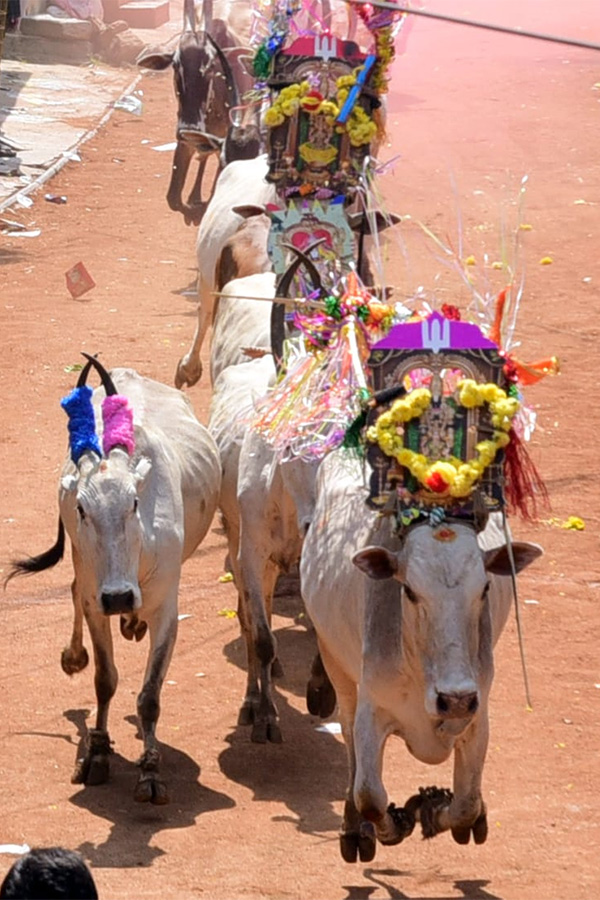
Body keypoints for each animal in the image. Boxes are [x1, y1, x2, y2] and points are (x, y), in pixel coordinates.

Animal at [6, 356, 223, 804]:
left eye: (135, 503)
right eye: (82, 508)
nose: (120, 598)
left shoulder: (167, 609)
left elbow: (150, 697)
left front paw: (151, 772)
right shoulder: (95, 598)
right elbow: (105, 680)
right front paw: (97, 755)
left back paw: (131, 624)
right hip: (80, 565)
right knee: (73, 590)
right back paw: (77, 653)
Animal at [302, 450, 540, 864]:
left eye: (484, 588)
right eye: (410, 591)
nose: (455, 699)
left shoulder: (477, 715)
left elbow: (466, 803)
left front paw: (434, 809)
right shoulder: (371, 711)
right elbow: (370, 796)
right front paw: (395, 823)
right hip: (337, 667)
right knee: (349, 748)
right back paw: (354, 827)